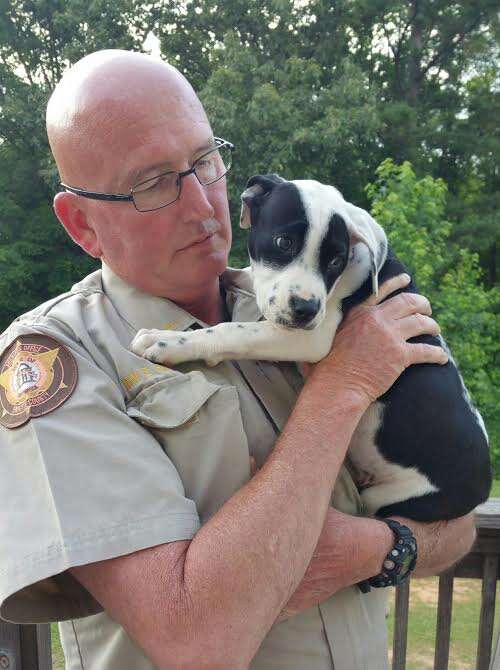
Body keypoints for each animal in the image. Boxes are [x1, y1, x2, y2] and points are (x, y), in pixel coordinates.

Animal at [130, 176, 492, 524]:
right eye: (284, 243)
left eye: (336, 260)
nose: (306, 309)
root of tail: (484, 487)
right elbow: (247, 280)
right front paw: (230, 275)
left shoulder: (310, 338)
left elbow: (234, 330)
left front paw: (166, 341)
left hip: (396, 497)